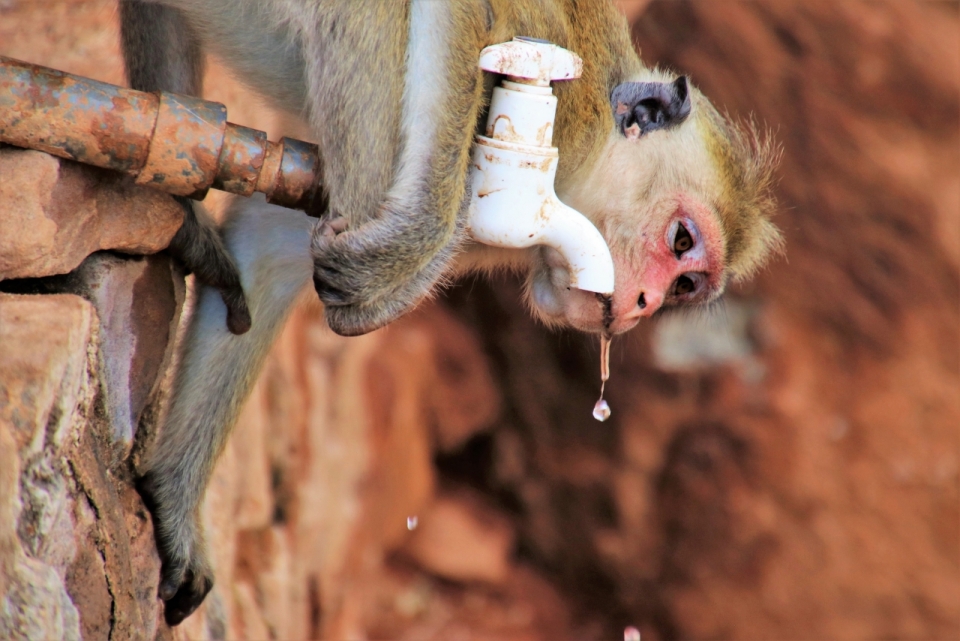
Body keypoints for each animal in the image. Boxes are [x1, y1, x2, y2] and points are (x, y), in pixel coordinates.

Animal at [120, 0, 780, 624]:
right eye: (681, 240)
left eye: (686, 285)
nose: (645, 305)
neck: (586, 169)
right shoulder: (570, 109)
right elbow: (459, 16)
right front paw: (414, 242)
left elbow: (267, 251)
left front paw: (176, 503)